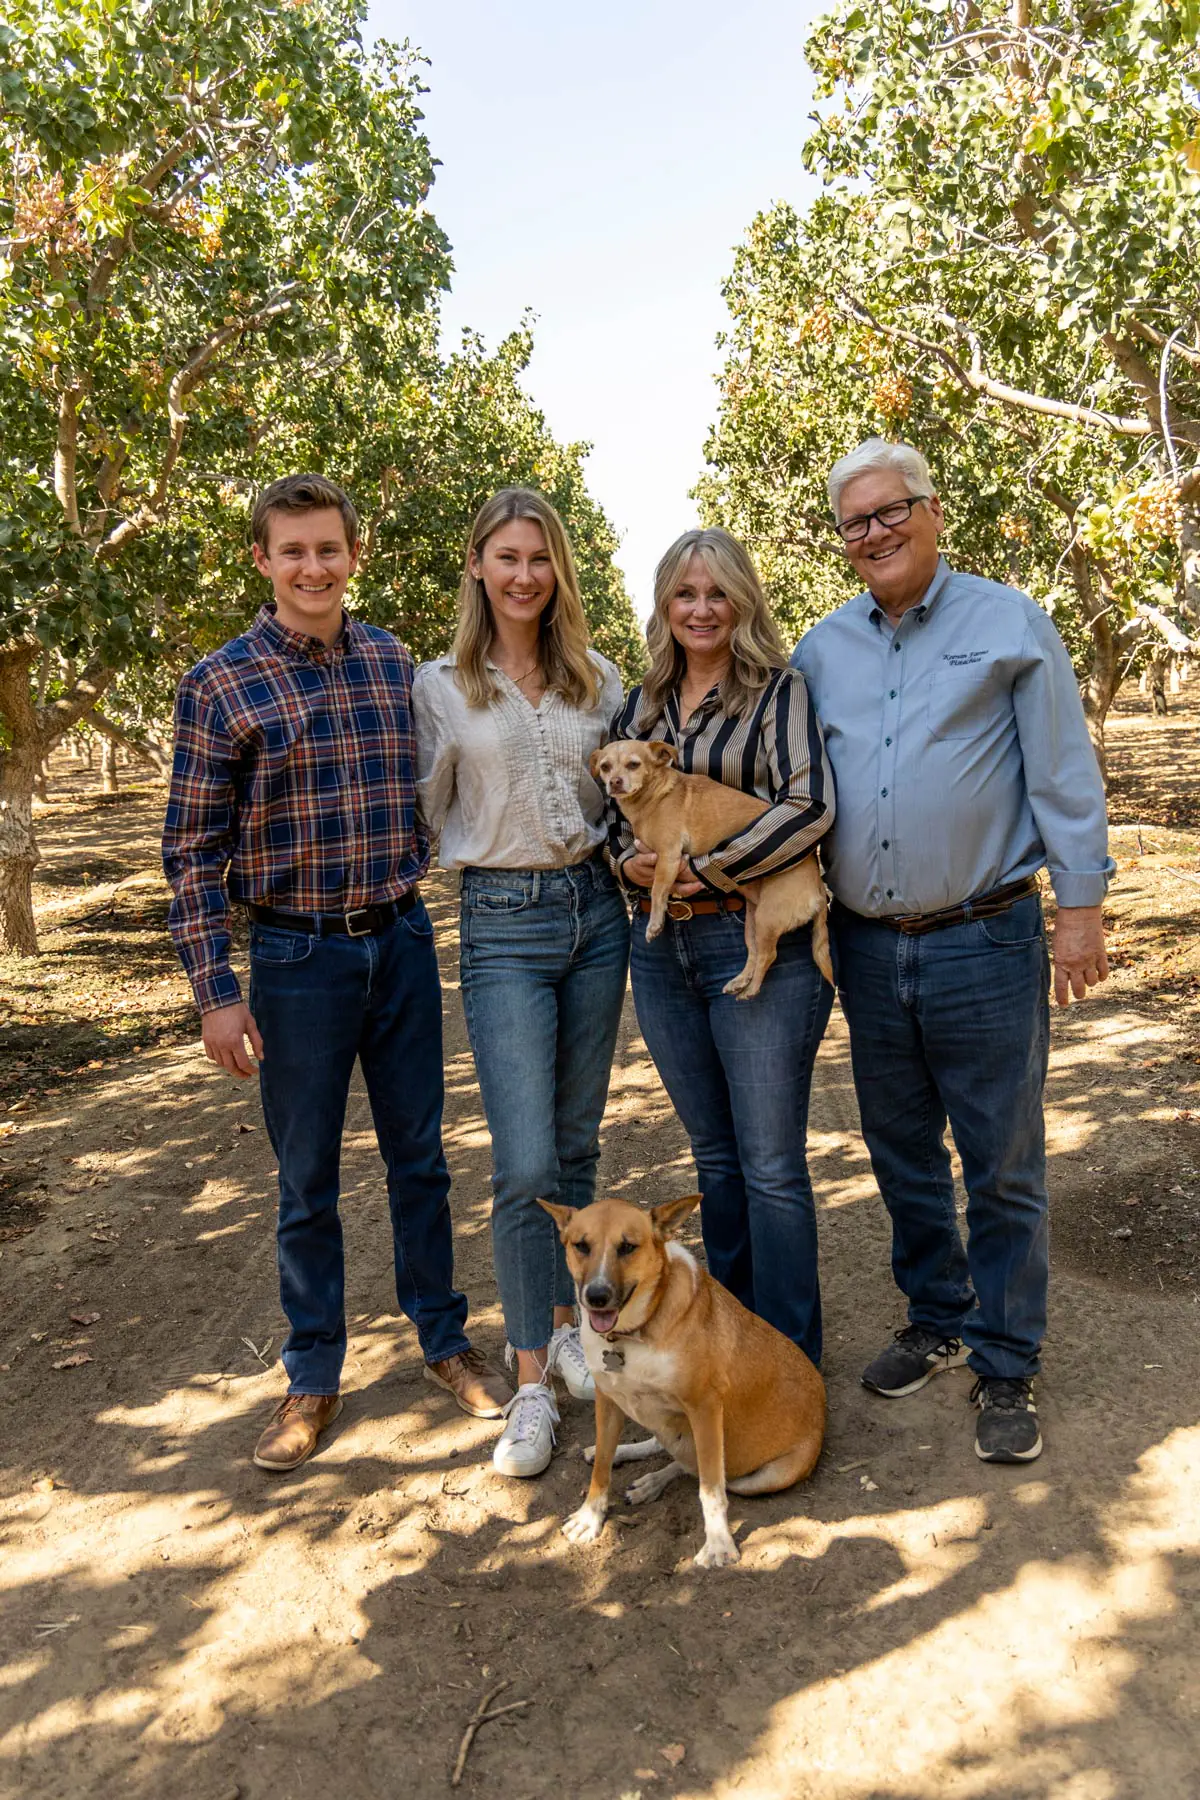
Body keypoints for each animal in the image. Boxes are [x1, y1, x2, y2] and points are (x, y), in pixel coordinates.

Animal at [536, 1202, 827, 1569]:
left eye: (627, 1247)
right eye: (581, 1246)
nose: (596, 1296)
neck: (633, 1334)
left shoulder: (704, 1409)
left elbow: (711, 1488)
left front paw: (718, 1544)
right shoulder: (608, 1399)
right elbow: (602, 1465)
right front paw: (590, 1516)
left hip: (764, 1477)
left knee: (703, 1471)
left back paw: (653, 1482)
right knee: (668, 1450)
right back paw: (634, 1462)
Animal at [586, 741, 831, 1000]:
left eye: (634, 764)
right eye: (605, 767)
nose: (615, 782)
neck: (652, 796)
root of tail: (818, 884)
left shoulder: (669, 857)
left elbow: (657, 890)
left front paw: (655, 924)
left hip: (768, 918)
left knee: (768, 955)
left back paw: (750, 991)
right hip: (753, 921)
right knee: (754, 952)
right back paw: (739, 981)